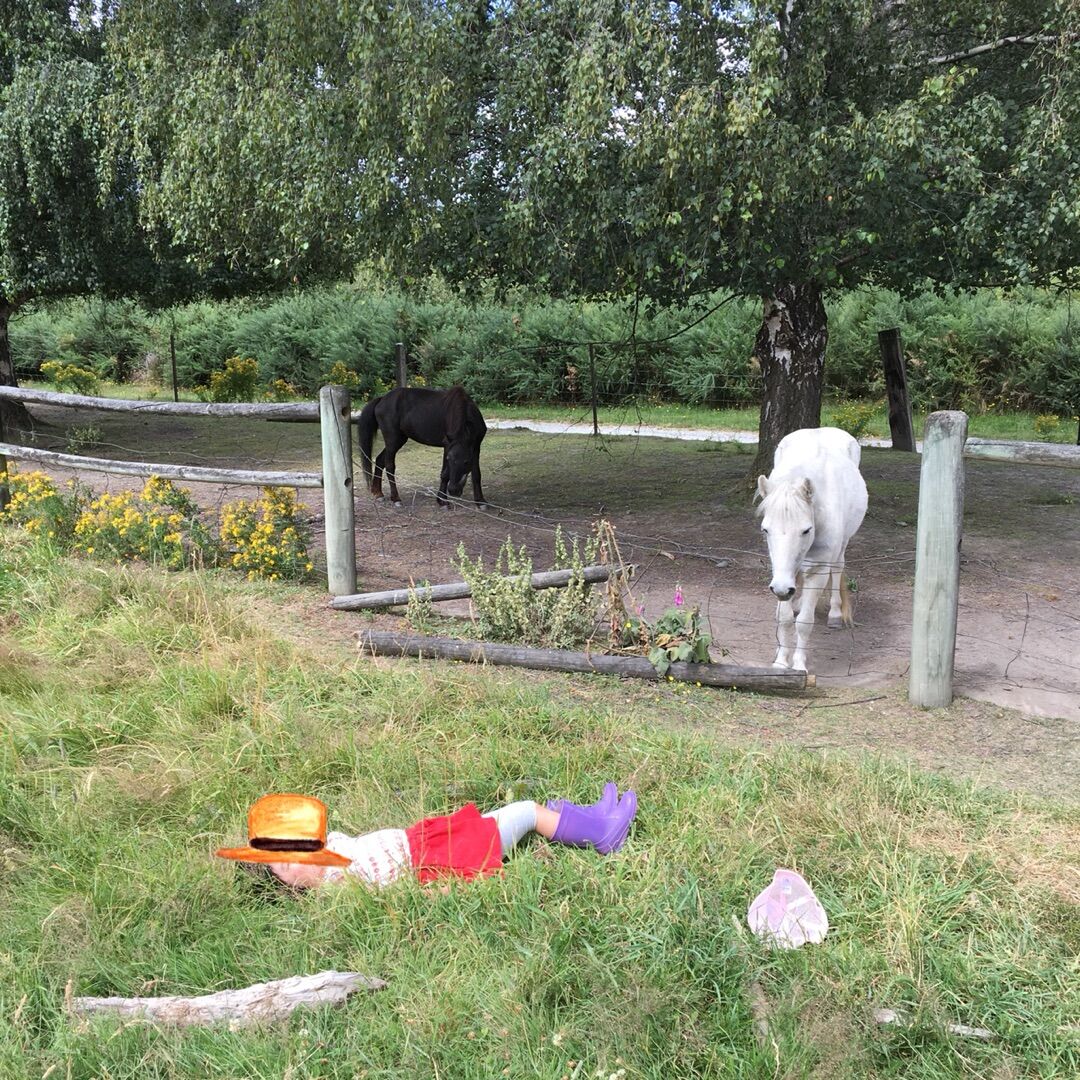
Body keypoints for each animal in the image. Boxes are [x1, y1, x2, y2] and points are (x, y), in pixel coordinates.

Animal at [357, 385, 488, 508]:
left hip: (399, 440)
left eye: (466, 462)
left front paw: (480, 501)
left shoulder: (476, 447)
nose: (453, 490)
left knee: (379, 460)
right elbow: (445, 474)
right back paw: (395, 498)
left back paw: (378, 493)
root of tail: (382, 399)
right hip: (392, 441)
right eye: (449, 459)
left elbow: (477, 474)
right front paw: (442, 501)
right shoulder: (447, 446)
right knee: (389, 466)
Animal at [756, 427, 868, 671]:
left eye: (806, 530)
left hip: (841, 546)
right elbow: (785, 619)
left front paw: (798, 665)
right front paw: (781, 661)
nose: (782, 589)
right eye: (765, 530)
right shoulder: (781, 572)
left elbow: (804, 622)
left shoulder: (819, 570)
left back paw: (835, 614)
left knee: (838, 568)